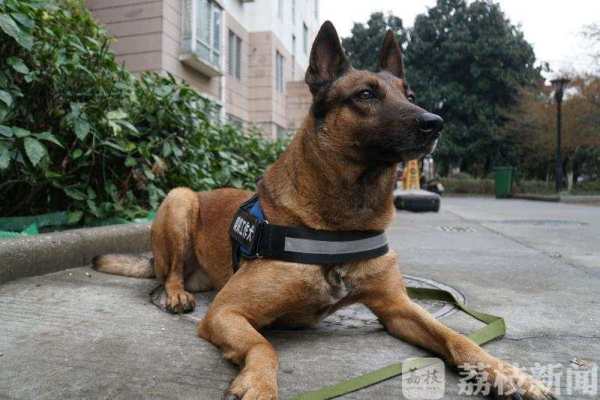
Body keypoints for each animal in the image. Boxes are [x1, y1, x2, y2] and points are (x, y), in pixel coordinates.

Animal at [93, 21, 555, 400]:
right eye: (365, 94)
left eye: (410, 95)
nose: (435, 123)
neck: (341, 221)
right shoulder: (227, 312)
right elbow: (264, 344)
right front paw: (259, 384)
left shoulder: (398, 308)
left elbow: (457, 337)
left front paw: (506, 373)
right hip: (180, 198)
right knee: (169, 269)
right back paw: (175, 292)